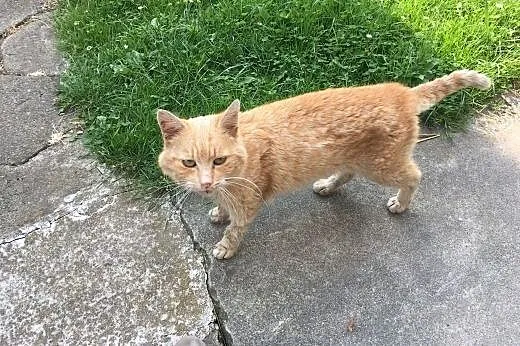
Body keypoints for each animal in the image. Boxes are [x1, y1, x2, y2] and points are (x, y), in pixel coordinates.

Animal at [156, 70, 490, 258]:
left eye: (219, 160)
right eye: (189, 163)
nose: (206, 183)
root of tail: (402, 92)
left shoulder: (248, 202)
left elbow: (235, 229)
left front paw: (226, 245)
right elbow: (225, 207)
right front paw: (219, 209)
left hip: (383, 166)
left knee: (414, 175)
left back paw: (401, 203)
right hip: (354, 158)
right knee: (347, 173)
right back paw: (329, 186)